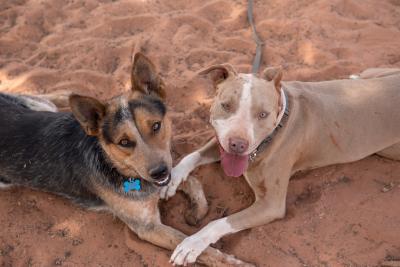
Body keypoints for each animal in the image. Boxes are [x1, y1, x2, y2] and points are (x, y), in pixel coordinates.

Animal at [0, 54, 250, 267]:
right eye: (124, 142)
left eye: (156, 125)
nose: (159, 172)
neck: (116, 166)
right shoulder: (148, 227)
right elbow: (193, 244)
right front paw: (233, 262)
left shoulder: (165, 175)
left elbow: (191, 182)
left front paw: (196, 210)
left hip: (40, 107)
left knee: (43, 98)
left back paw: (66, 96)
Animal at [161, 66, 400, 266]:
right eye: (226, 105)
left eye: (263, 114)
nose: (238, 144)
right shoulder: (222, 145)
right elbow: (192, 155)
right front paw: (172, 179)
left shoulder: (271, 205)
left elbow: (219, 222)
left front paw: (192, 243)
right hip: (377, 75)